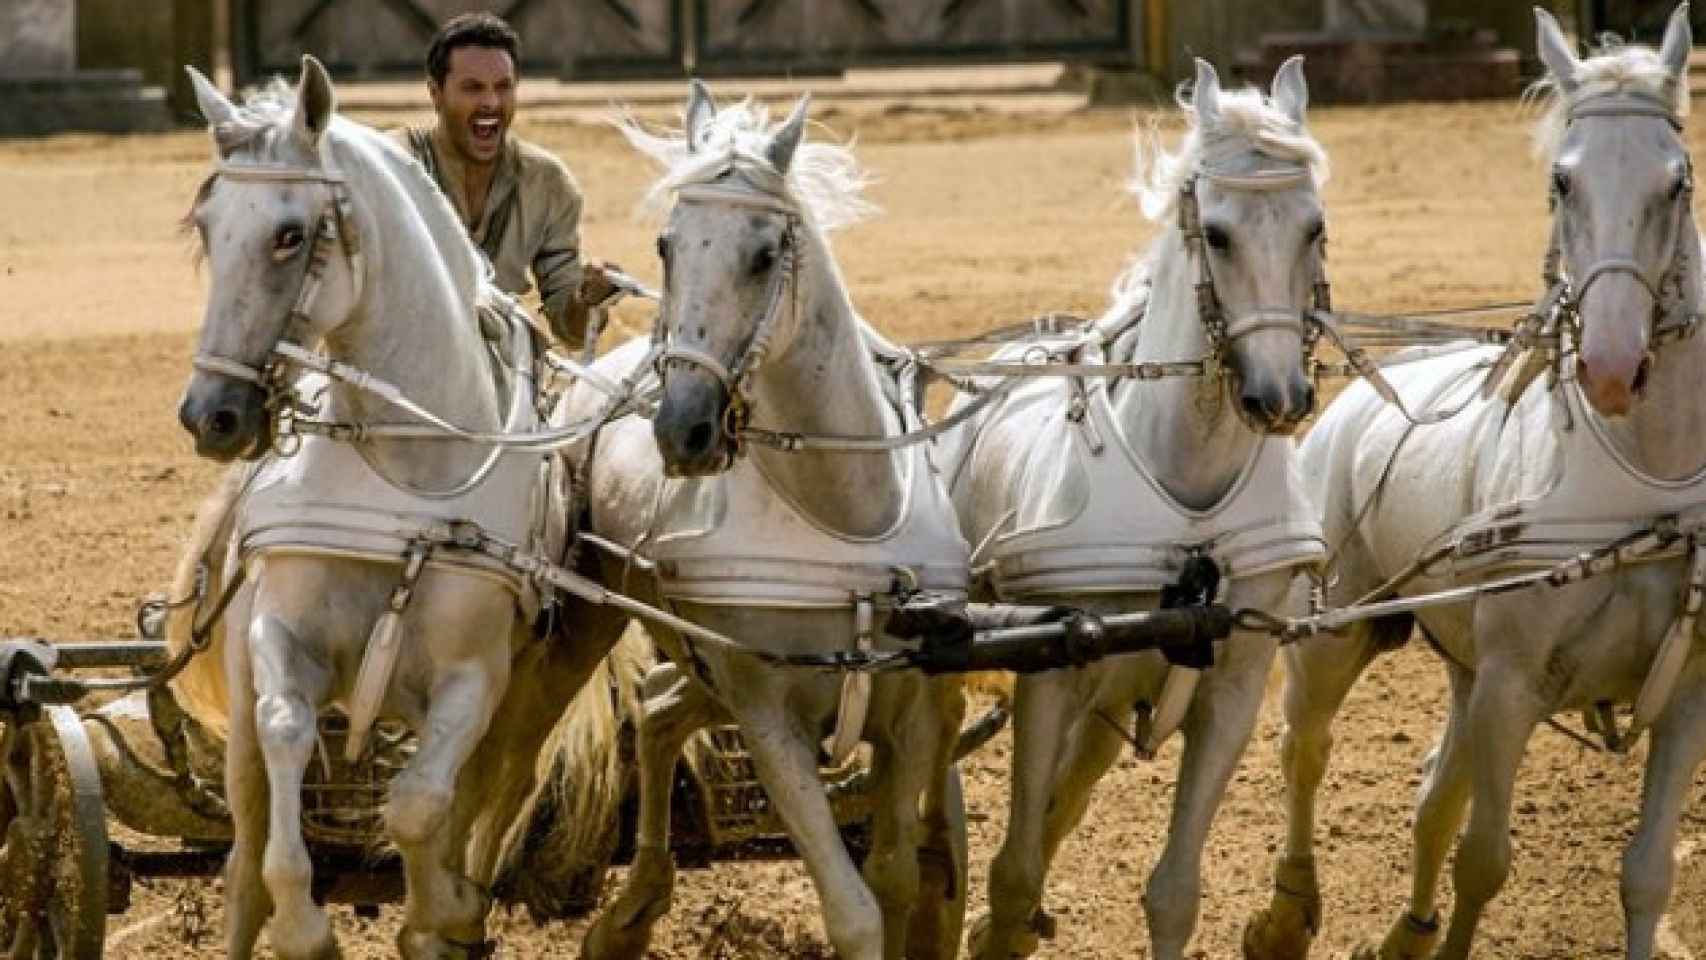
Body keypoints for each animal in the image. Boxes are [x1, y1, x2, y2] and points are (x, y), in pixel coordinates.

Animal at [176, 60, 617, 960]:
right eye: (208, 225)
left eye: (290, 234)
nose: (211, 416)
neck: (402, 473)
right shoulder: (280, 640)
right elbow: (286, 735)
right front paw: (306, 927)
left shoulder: (473, 680)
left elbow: (420, 806)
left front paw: (437, 913)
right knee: (242, 856)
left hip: (542, 682)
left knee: (495, 779)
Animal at [562, 84, 975, 960]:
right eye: (666, 245)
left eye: (761, 256)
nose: (682, 428)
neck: (846, 526)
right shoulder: (769, 722)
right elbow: (856, 911)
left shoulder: (914, 716)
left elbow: (896, 879)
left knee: (658, 707)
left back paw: (635, 906)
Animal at [948, 58, 1330, 960]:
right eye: (1217, 234)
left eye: (1314, 227)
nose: (1279, 397)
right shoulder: (1051, 672)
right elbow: (1013, 871)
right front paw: (997, 923)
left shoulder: (1233, 685)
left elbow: (1173, 893)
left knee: (1075, 790)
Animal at [1241, 7, 1706, 960]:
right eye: (1562, 181)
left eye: (1676, 182)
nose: (1612, 366)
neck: (1641, 485)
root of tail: (1354, 406)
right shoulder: (1509, 684)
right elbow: (1485, 859)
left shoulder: (1685, 699)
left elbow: (1647, 873)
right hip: (1335, 636)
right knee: (1306, 750)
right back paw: (1288, 910)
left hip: (1457, 664)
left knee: (1432, 798)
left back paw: (1405, 932)